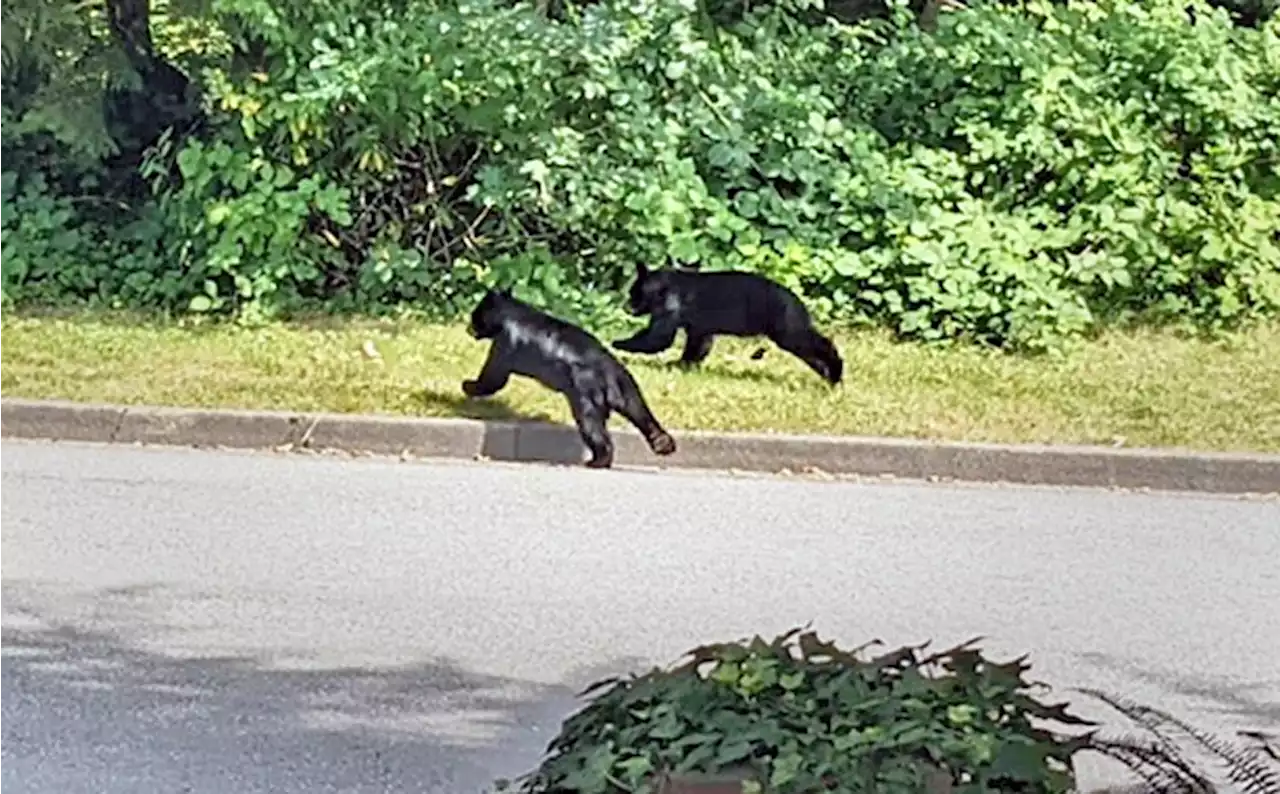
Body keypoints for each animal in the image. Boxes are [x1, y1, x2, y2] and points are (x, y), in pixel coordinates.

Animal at [460, 286, 680, 468]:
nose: (469, 327)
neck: (509, 315)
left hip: (586, 399)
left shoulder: (503, 347)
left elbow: (493, 379)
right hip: (627, 388)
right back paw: (663, 444)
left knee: (594, 429)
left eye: (475, 315)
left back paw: (597, 462)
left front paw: (467, 385)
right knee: (640, 412)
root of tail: (609, 370)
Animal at [614, 262, 844, 386]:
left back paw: (836, 368)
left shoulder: (670, 306)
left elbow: (658, 337)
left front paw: (618, 343)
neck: (664, 287)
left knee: (814, 342)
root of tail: (798, 302)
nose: (626, 306)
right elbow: (698, 345)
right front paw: (683, 364)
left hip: (786, 327)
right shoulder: (699, 327)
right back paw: (830, 378)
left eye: (634, 292)